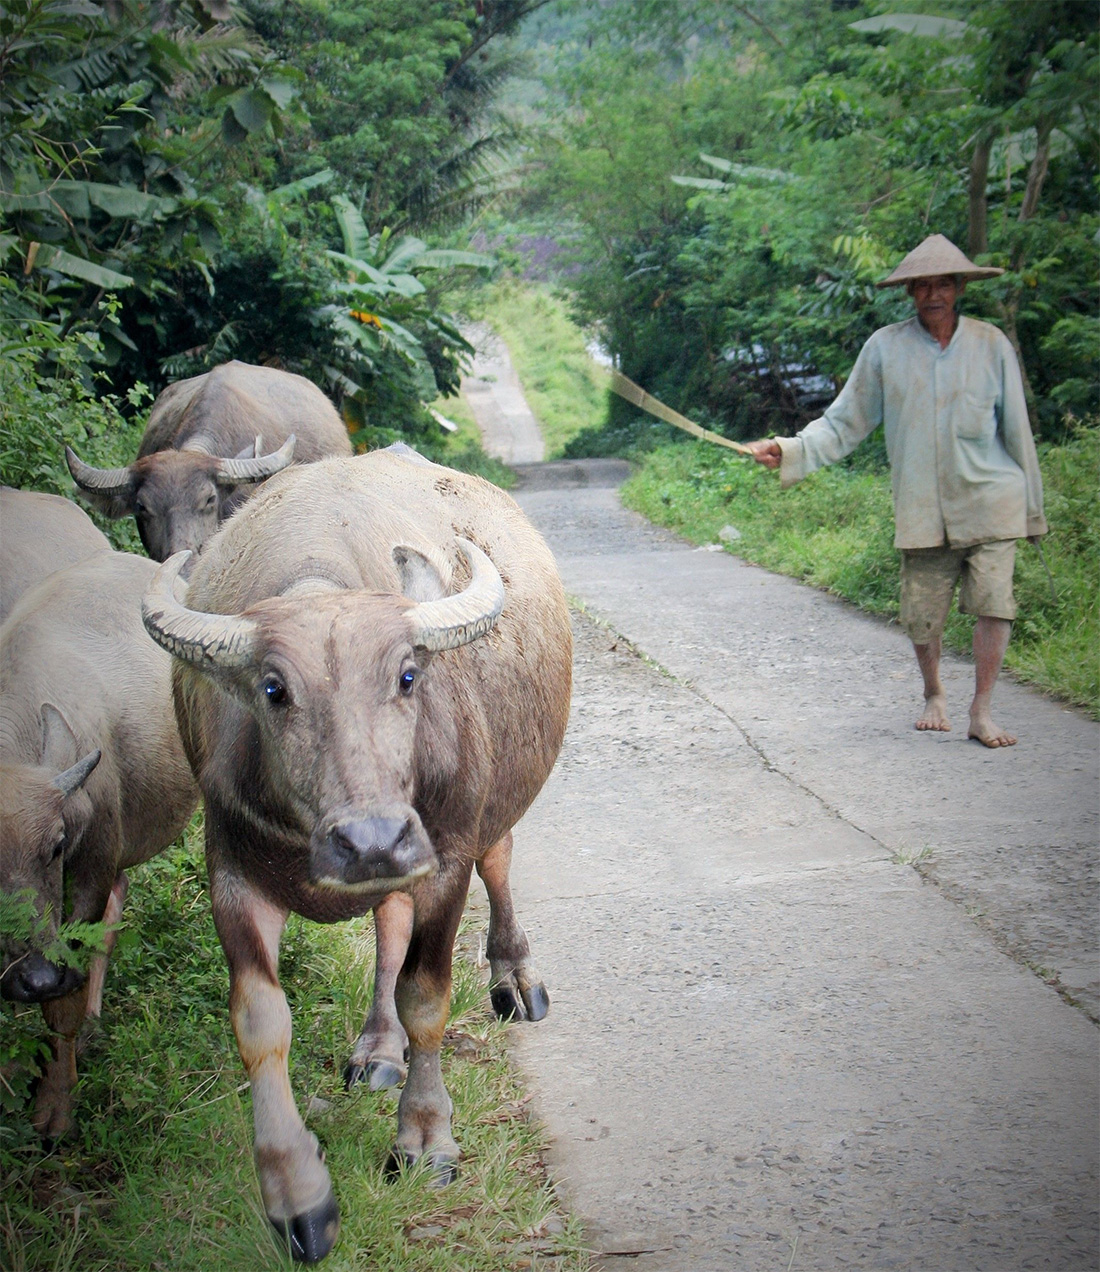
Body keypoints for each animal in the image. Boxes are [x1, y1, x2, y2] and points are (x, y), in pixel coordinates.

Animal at [141, 447, 569, 1261]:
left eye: (407, 676)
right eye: (273, 689)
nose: (370, 840)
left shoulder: (444, 858)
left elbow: (426, 996)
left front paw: (425, 1141)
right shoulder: (231, 873)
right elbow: (260, 1022)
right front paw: (296, 1196)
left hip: (489, 814)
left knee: (498, 866)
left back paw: (515, 978)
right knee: (386, 928)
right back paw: (377, 1049)